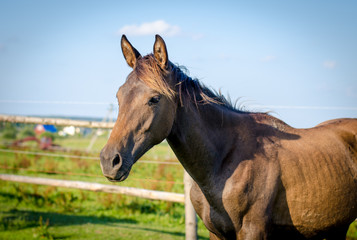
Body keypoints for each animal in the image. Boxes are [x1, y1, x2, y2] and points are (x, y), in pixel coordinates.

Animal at [99, 34, 356, 239]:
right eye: (119, 96)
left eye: (154, 99)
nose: (109, 161)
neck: (225, 162)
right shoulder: (216, 233)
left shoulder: (253, 232)